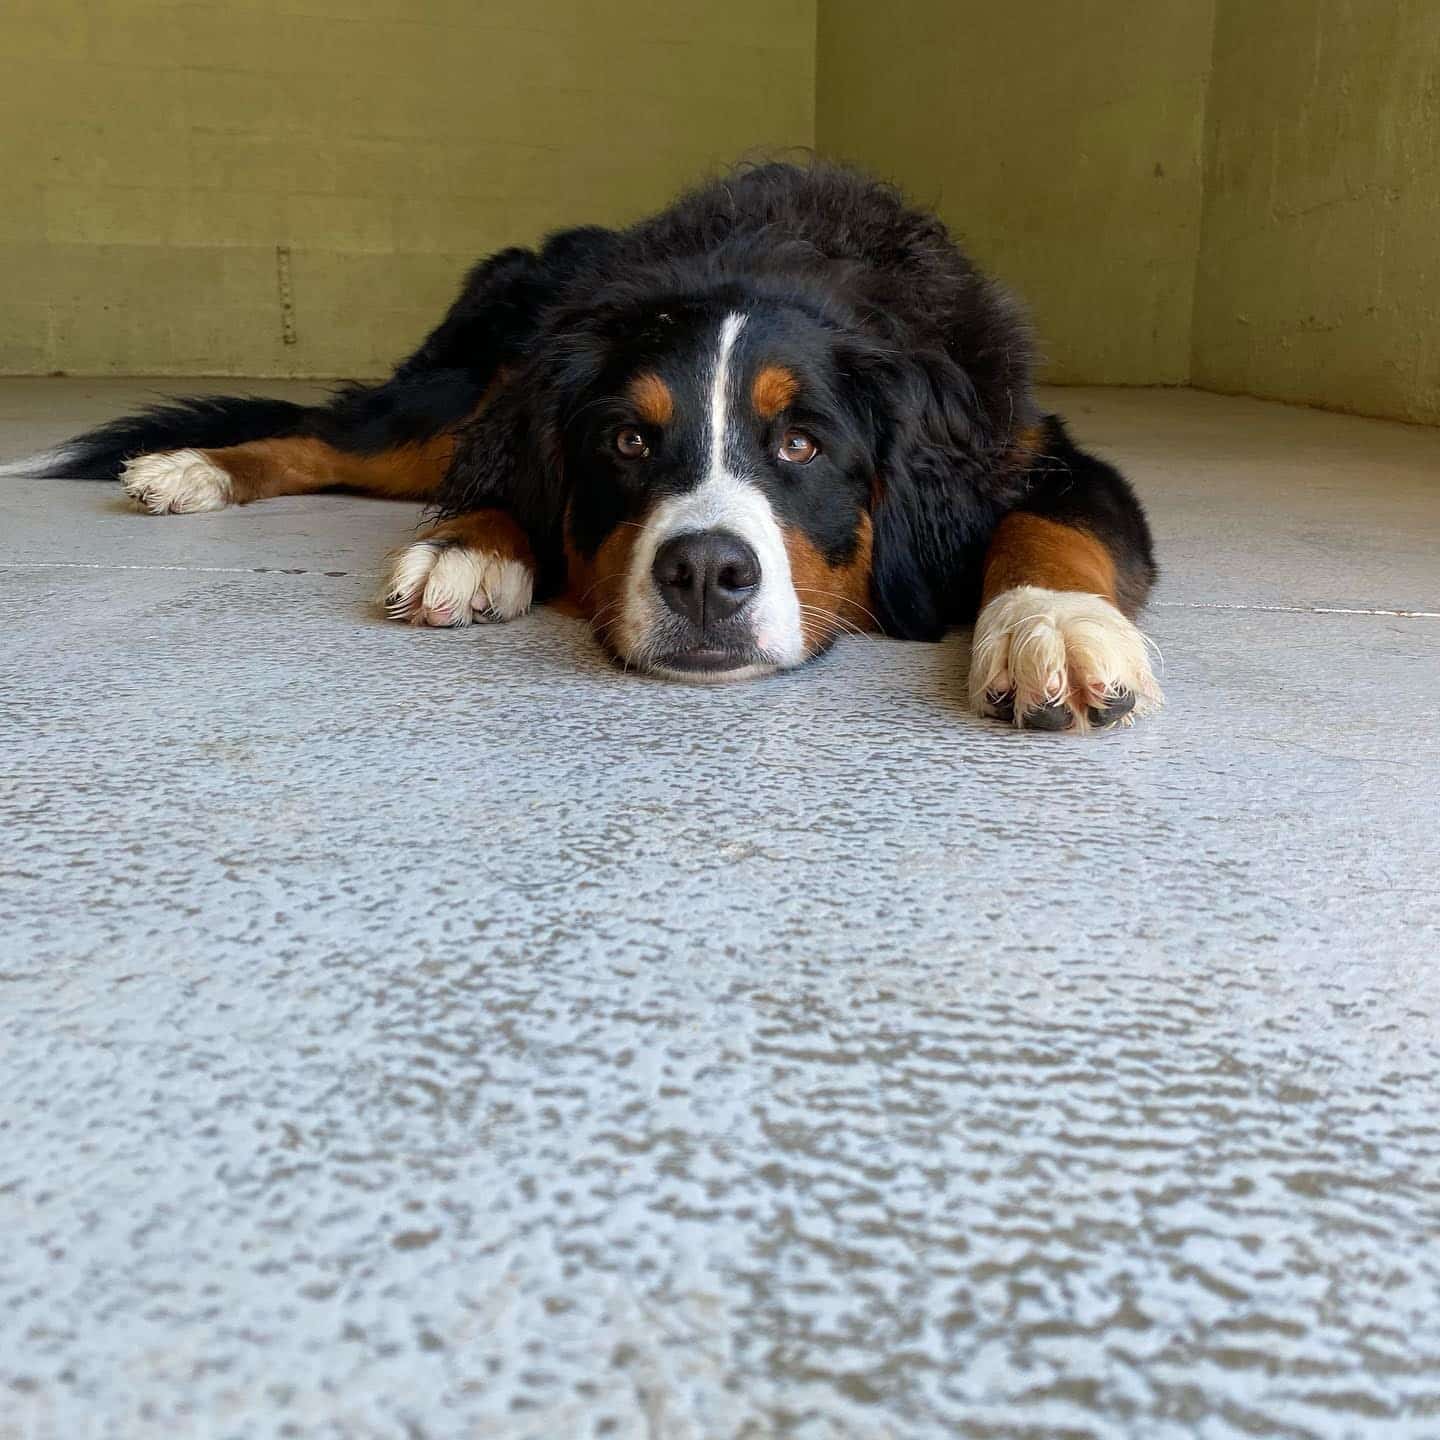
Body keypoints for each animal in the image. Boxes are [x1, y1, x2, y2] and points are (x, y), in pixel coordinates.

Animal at [11, 164, 1157, 731]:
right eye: (627, 439)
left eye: (799, 444)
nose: (705, 575)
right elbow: (507, 482)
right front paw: (471, 548)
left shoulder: (1028, 445)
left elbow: (1049, 528)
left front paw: (1050, 628)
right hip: (458, 390)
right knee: (335, 439)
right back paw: (194, 470)